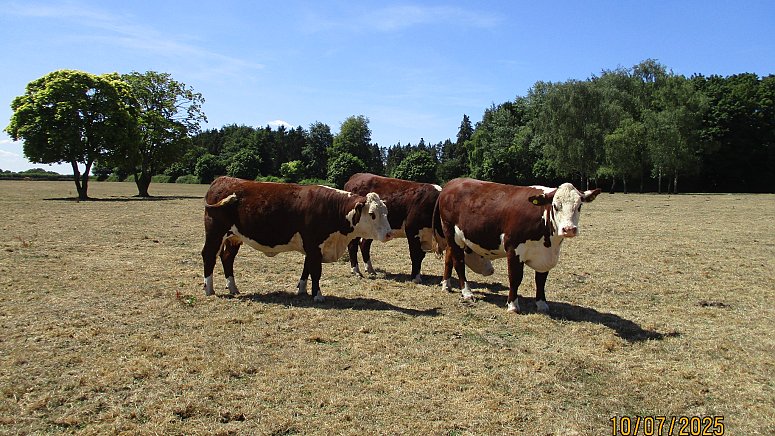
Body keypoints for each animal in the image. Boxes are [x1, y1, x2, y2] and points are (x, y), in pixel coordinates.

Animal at [202, 176, 393, 301]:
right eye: (372, 214)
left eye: (386, 212)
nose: (389, 233)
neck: (332, 208)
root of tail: (222, 180)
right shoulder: (314, 245)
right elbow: (315, 271)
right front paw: (318, 295)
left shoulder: (312, 247)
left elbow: (307, 268)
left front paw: (302, 289)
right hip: (215, 233)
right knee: (209, 255)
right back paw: (209, 289)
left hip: (234, 237)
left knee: (227, 258)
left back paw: (233, 288)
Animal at [435, 178, 601, 313]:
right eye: (555, 206)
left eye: (579, 206)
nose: (569, 229)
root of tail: (453, 182)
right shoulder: (513, 248)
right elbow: (515, 277)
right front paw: (513, 305)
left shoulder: (544, 255)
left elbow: (541, 280)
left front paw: (542, 304)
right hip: (451, 234)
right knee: (458, 263)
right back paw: (467, 292)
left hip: (454, 239)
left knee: (449, 259)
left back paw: (446, 285)